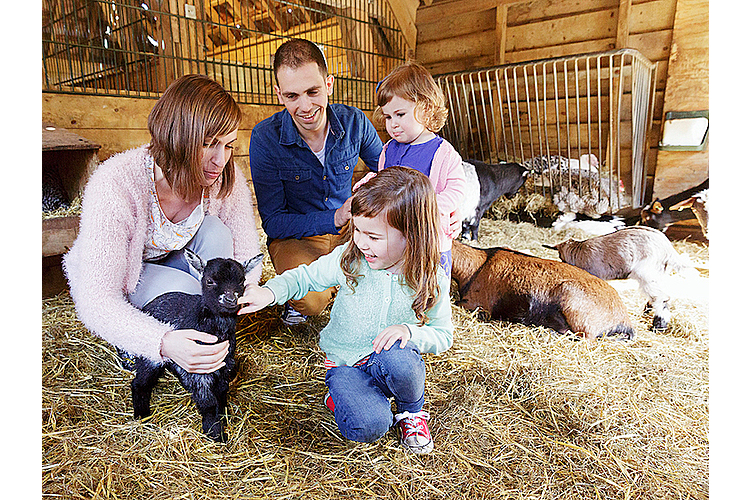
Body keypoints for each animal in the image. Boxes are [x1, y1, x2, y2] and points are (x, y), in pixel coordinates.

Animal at [132, 250, 264, 442]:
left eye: (242, 281)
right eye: (209, 281)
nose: (230, 299)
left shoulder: (224, 366)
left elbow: (221, 394)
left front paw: (222, 418)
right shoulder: (199, 370)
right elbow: (208, 403)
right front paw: (216, 434)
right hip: (151, 357)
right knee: (140, 383)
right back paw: (142, 415)